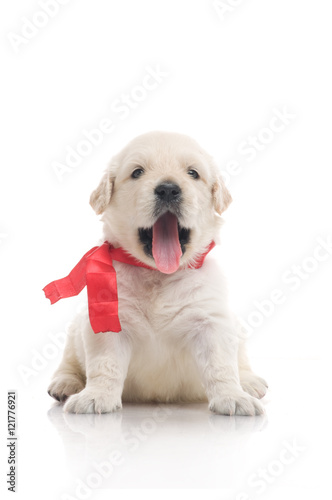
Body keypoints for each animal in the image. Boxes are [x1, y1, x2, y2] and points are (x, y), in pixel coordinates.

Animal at [46, 131, 268, 416]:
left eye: (193, 173)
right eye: (137, 172)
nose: (168, 189)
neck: (158, 274)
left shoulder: (211, 322)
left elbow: (220, 366)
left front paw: (233, 397)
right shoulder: (109, 321)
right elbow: (105, 365)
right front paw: (96, 396)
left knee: (241, 361)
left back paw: (250, 383)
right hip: (75, 330)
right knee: (69, 361)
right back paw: (65, 383)